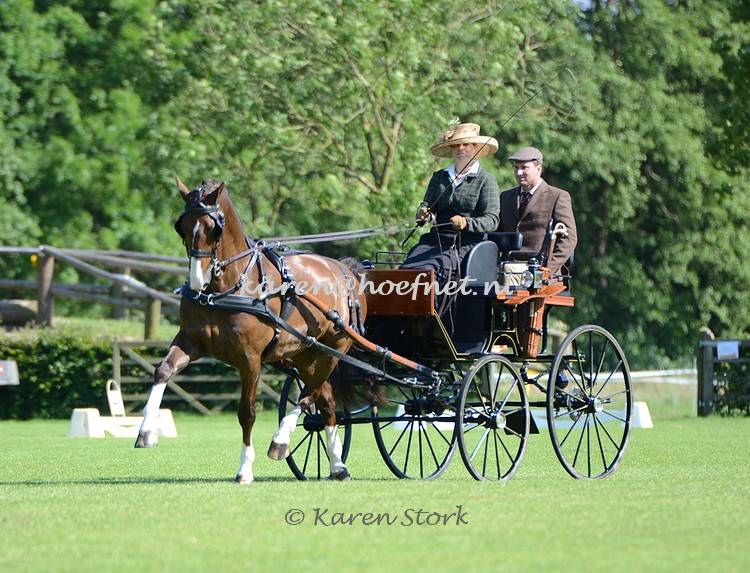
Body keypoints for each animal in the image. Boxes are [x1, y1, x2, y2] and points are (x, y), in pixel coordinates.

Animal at [134, 177, 367, 483]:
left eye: (214, 229)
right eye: (181, 226)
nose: (197, 280)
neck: (224, 290)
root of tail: (344, 269)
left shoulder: (250, 359)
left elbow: (247, 412)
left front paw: (244, 469)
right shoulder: (190, 342)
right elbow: (162, 371)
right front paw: (146, 431)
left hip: (333, 350)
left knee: (310, 395)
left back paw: (281, 440)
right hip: (302, 354)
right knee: (325, 400)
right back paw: (337, 466)